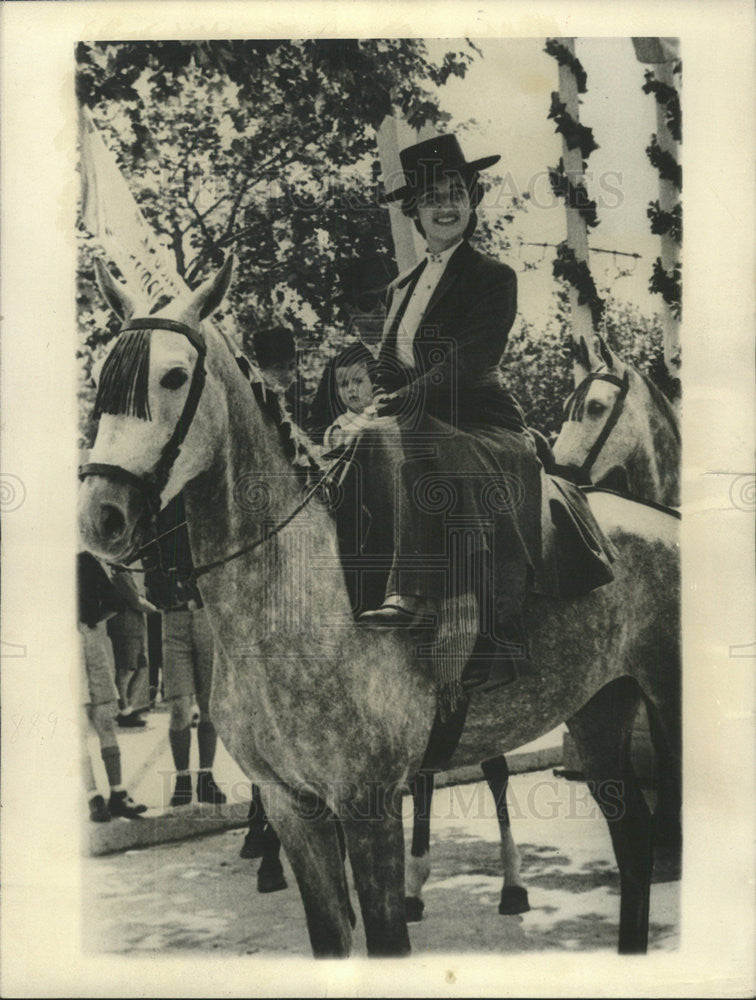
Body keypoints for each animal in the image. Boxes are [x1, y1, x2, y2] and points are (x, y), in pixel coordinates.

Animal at [79, 258, 684, 952]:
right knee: (632, 841)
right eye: (104, 378)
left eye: (174, 376)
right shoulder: (293, 807)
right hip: (598, 708)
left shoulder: (368, 807)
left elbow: (387, 936)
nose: (101, 516)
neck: (291, 603)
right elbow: (330, 936)